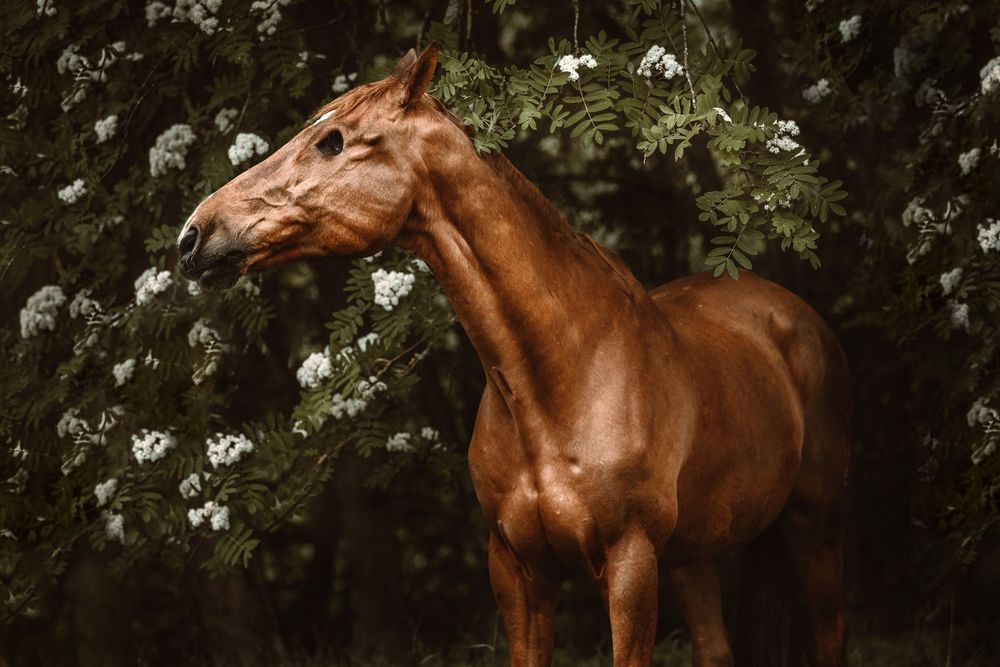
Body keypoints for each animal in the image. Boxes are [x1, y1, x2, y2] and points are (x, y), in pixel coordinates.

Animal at [177, 44, 851, 667]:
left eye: (332, 141)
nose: (194, 235)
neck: (559, 381)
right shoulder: (518, 574)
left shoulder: (630, 566)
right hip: (694, 557)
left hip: (812, 533)